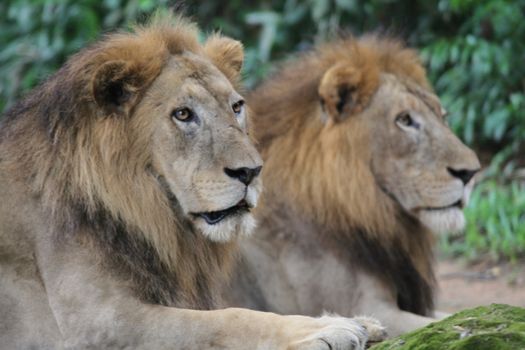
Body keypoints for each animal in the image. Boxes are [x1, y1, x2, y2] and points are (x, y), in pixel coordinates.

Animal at [0, 15, 384, 348]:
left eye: (236, 107)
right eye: (183, 114)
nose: (251, 172)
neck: (150, 216)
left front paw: (356, 321)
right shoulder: (98, 323)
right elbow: (230, 317)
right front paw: (328, 329)